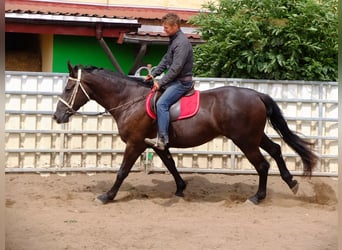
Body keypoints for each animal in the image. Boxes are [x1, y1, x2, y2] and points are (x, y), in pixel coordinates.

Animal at [53, 62, 318, 205]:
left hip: (245, 140)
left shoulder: (136, 144)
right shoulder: (156, 144)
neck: (130, 100)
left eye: (68, 88)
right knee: (276, 150)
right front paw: (180, 189)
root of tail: (257, 95)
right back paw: (291, 182)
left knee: (262, 164)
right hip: (254, 137)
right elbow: (171, 165)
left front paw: (107, 196)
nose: (57, 116)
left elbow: (122, 172)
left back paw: (258, 197)